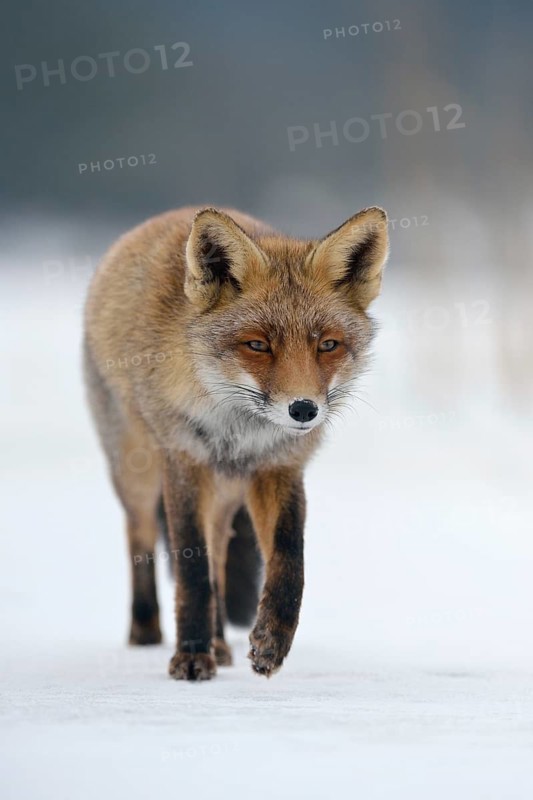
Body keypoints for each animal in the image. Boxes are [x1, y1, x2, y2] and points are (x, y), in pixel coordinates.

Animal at [83, 204, 389, 680]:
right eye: (258, 345)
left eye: (328, 345)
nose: (303, 409)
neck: (241, 433)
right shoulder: (184, 461)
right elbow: (191, 569)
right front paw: (190, 656)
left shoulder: (278, 467)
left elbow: (288, 560)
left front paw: (271, 642)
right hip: (138, 471)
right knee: (140, 535)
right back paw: (147, 630)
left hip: (225, 493)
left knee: (219, 558)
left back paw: (219, 642)